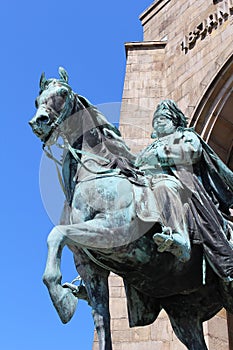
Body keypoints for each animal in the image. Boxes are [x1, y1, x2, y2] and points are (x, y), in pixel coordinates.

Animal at [29, 67, 233, 348]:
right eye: (37, 99)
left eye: (62, 93)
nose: (39, 121)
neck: (100, 171)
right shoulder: (90, 265)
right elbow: (102, 321)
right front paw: (66, 298)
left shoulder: (114, 230)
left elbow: (56, 234)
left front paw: (63, 302)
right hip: (184, 312)